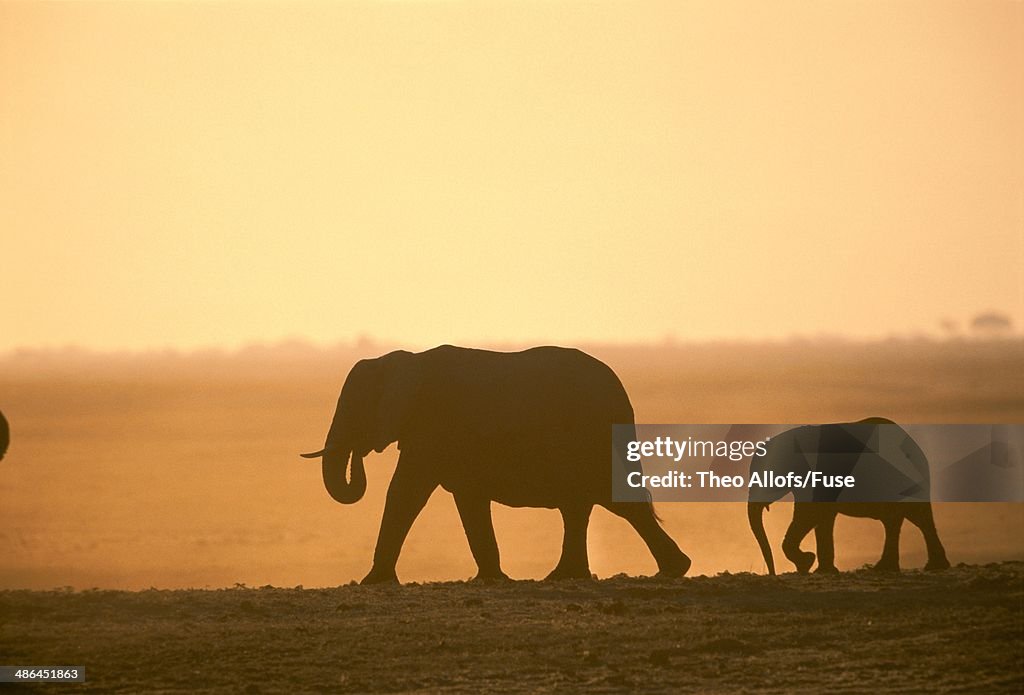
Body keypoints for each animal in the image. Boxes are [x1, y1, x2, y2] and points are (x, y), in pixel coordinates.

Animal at [299, 345, 692, 585]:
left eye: (354, 409)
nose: (357, 454)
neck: (402, 360)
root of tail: (620, 394)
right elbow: (468, 500)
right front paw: (491, 579)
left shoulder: (432, 427)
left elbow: (406, 492)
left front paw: (372, 582)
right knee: (582, 506)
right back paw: (570, 576)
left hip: (587, 438)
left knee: (611, 500)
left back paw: (670, 571)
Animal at [745, 419, 950, 577]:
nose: (773, 574)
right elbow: (822, 518)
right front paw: (822, 570)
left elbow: (810, 514)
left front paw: (807, 562)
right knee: (913, 517)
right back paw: (924, 566)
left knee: (900, 517)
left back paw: (889, 568)